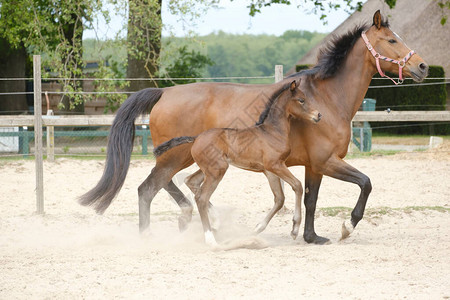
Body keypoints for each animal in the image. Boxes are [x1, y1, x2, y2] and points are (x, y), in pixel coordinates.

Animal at [79, 11, 428, 245]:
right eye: (392, 40)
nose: (423, 66)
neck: (327, 98)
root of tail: (164, 92)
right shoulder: (327, 161)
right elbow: (365, 183)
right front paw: (347, 227)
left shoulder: (313, 165)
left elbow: (310, 199)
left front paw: (311, 236)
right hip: (175, 156)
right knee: (149, 189)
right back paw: (154, 235)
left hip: (182, 157)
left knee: (172, 187)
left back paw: (203, 221)